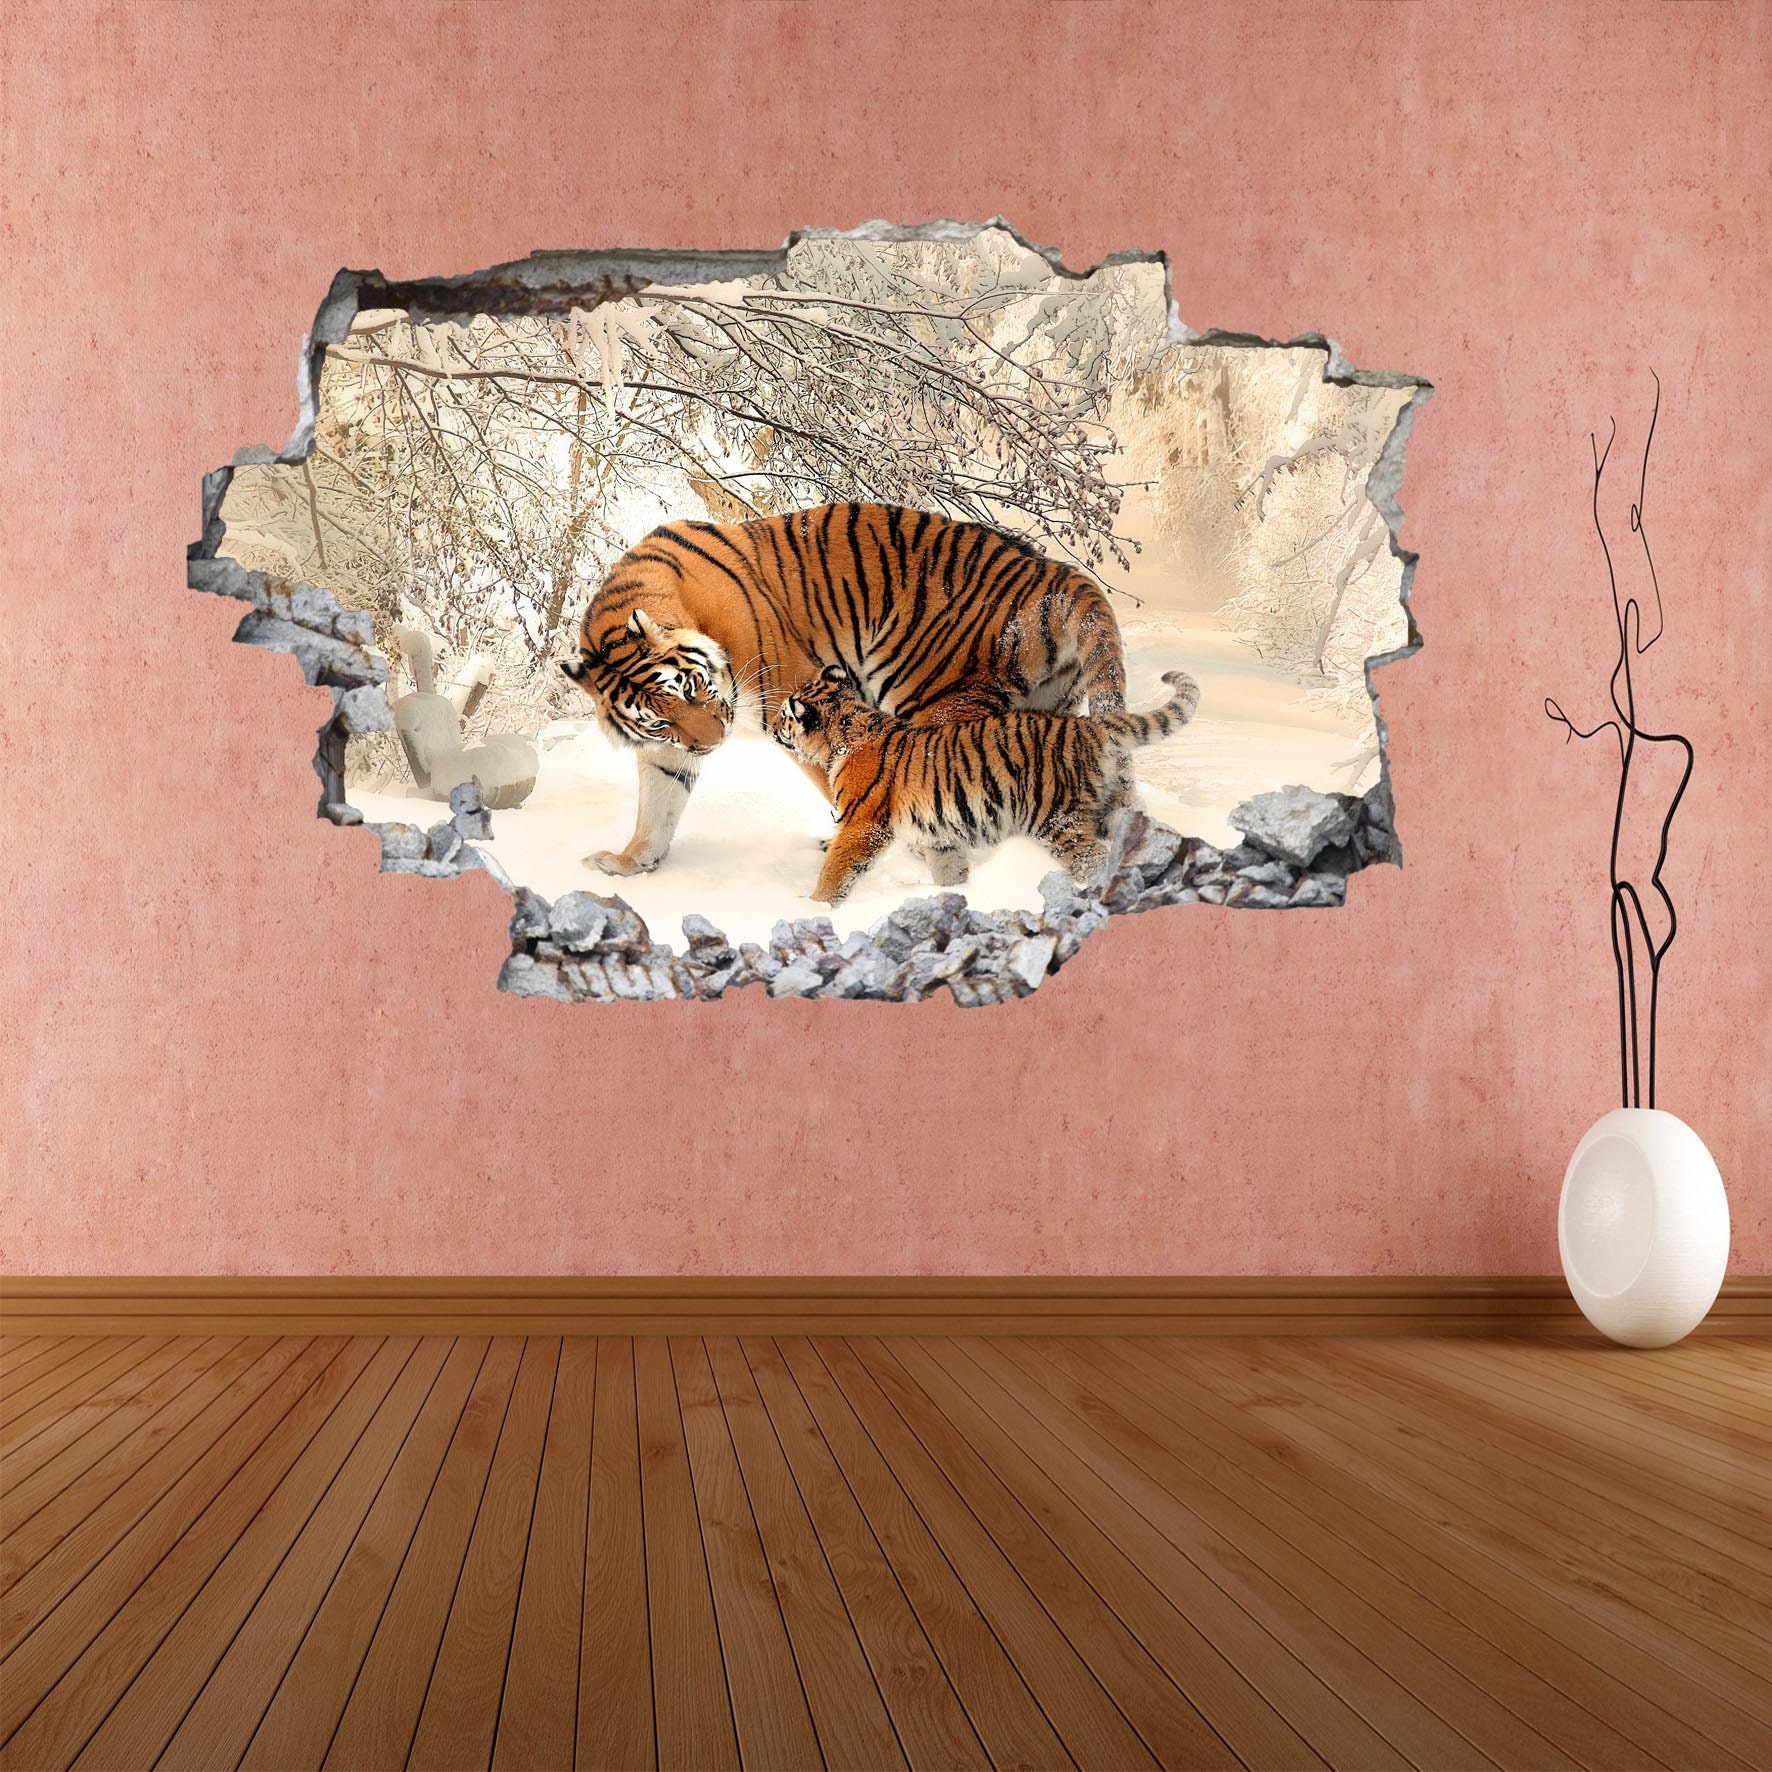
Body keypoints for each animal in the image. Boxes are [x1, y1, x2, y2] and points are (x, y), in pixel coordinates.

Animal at [559, 503, 1126, 876]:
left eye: (694, 688)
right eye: (660, 719)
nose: (713, 743)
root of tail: (1053, 572)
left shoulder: (792, 700)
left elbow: (844, 785)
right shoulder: (667, 749)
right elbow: (657, 803)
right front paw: (630, 862)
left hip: (932, 697)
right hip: (1043, 710)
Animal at [772, 664, 1201, 904]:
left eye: (784, 716)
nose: (773, 727)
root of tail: (1089, 725)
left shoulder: (862, 825)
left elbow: (836, 870)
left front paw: (814, 905)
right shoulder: (938, 836)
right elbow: (949, 869)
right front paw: (957, 896)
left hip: (1057, 820)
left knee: (1092, 861)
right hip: (1113, 808)